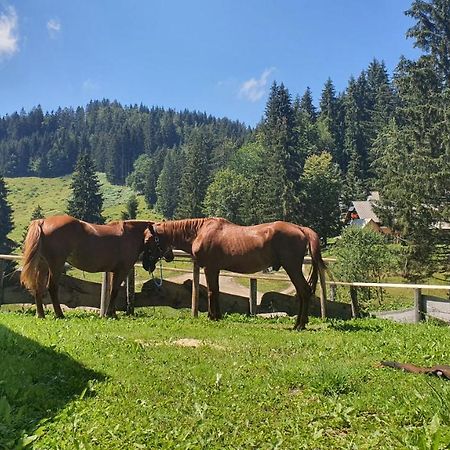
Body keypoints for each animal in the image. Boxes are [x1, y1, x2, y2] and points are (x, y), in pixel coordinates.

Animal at [18, 214, 172, 316]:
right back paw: (59, 314)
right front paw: (111, 314)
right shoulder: (122, 270)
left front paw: (110, 313)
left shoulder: (113, 271)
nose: (170, 256)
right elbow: (115, 291)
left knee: (38, 287)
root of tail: (43, 221)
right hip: (56, 265)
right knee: (52, 287)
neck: (129, 236)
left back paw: (41, 315)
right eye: (162, 238)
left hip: (43, 265)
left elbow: (111, 291)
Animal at [145, 216, 326, 328]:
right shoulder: (215, 269)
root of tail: (300, 228)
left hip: (292, 268)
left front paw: (212, 316)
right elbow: (216, 291)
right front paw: (217, 315)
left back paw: (299, 324)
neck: (200, 232)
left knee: (304, 292)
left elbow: (211, 291)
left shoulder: (210, 268)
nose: (147, 264)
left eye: (147, 240)